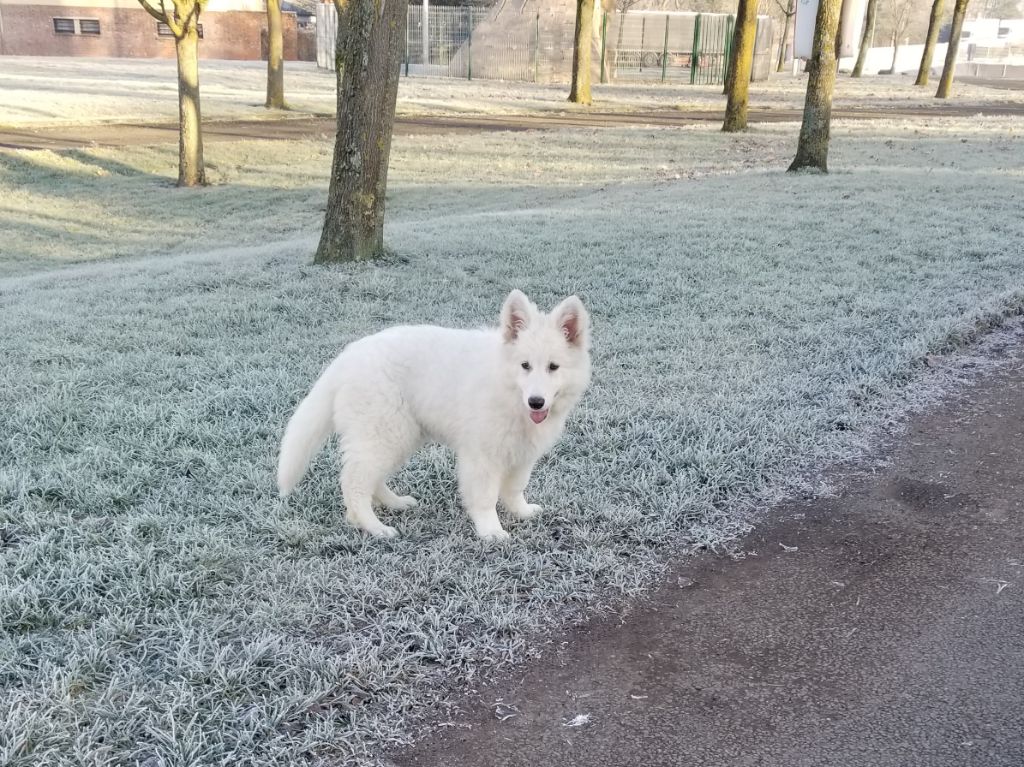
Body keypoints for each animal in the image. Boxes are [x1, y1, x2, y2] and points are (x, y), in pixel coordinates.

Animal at [276, 288, 593, 536]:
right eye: (525, 366)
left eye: (553, 367)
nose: (536, 402)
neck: (508, 390)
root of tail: (347, 356)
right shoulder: (481, 456)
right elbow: (485, 497)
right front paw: (491, 530)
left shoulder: (522, 453)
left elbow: (514, 489)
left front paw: (521, 512)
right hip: (384, 433)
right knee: (354, 482)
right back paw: (372, 526)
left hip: (399, 436)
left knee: (372, 478)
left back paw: (394, 503)